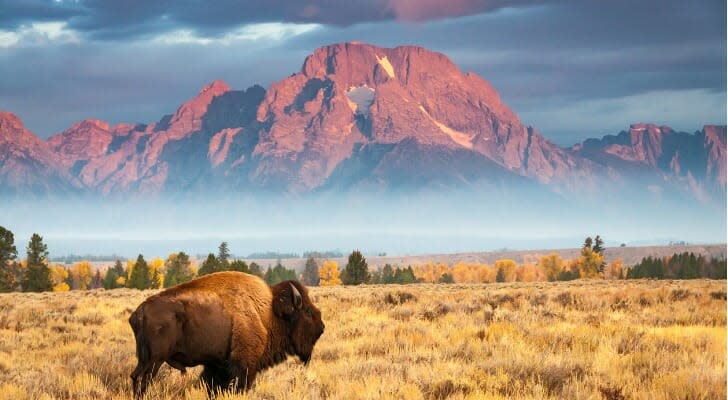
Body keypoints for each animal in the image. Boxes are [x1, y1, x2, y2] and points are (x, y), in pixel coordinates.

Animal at [128, 272, 324, 396]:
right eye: (307, 311)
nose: (322, 327)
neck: (269, 312)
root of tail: (139, 311)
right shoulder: (244, 364)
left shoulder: (217, 364)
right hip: (154, 360)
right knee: (144, 379)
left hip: (145, 359)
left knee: (135, 376)